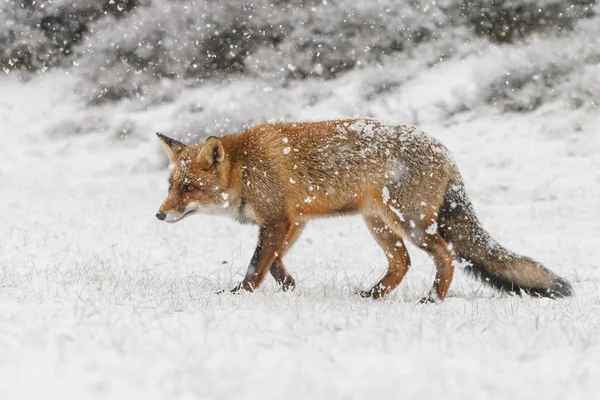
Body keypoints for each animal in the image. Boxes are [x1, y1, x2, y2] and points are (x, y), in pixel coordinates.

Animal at [155, 119, 572, 304]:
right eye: (171, 185)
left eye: (188, 188)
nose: (159, 215)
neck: (246, 168)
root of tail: (445, 151)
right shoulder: (295, 220)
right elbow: (275, 262)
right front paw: (289, 286)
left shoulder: (276, 220)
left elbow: (257, 264)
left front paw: (238, 295)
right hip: (379, 224)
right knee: (402, 263)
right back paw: (373, 295)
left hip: (410, 223)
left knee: (446, 255)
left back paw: (433, 298)